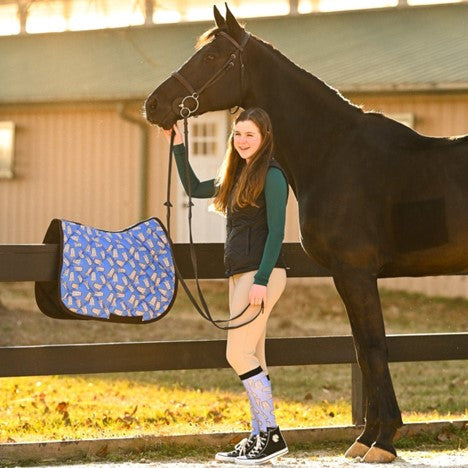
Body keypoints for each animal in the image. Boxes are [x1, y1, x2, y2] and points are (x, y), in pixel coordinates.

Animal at [144, 4, 466, 464]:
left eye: (211, 56)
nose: (154, 105)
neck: (333, 152)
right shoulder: (347, 277)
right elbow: (360, 351)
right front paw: (366, 437)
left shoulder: (355, 273)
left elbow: (373, 348)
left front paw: (383, 441)